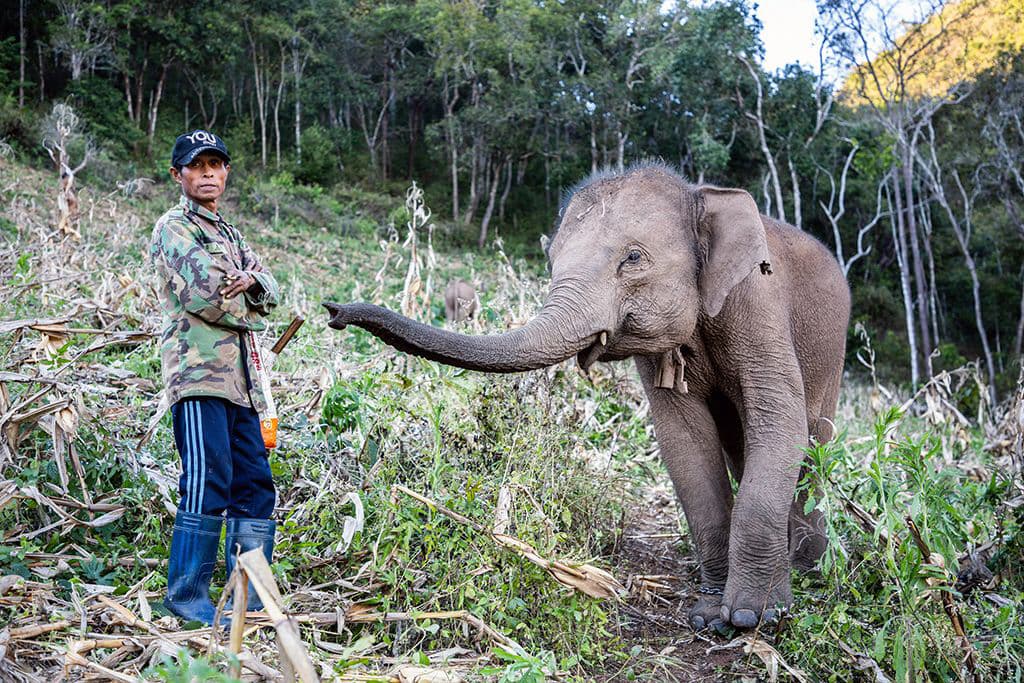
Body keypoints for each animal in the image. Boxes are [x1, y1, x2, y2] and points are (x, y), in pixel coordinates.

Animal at [323, 163, 850, 631]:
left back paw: (807, 564)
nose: (333, 311)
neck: (698, 194)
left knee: (811, 443)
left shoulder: (758, 305)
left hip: (833, 353)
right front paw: (708, 616)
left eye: (633, 258)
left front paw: (751, 618)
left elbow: (779, 421)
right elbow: (684, 441)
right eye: (552, 260)